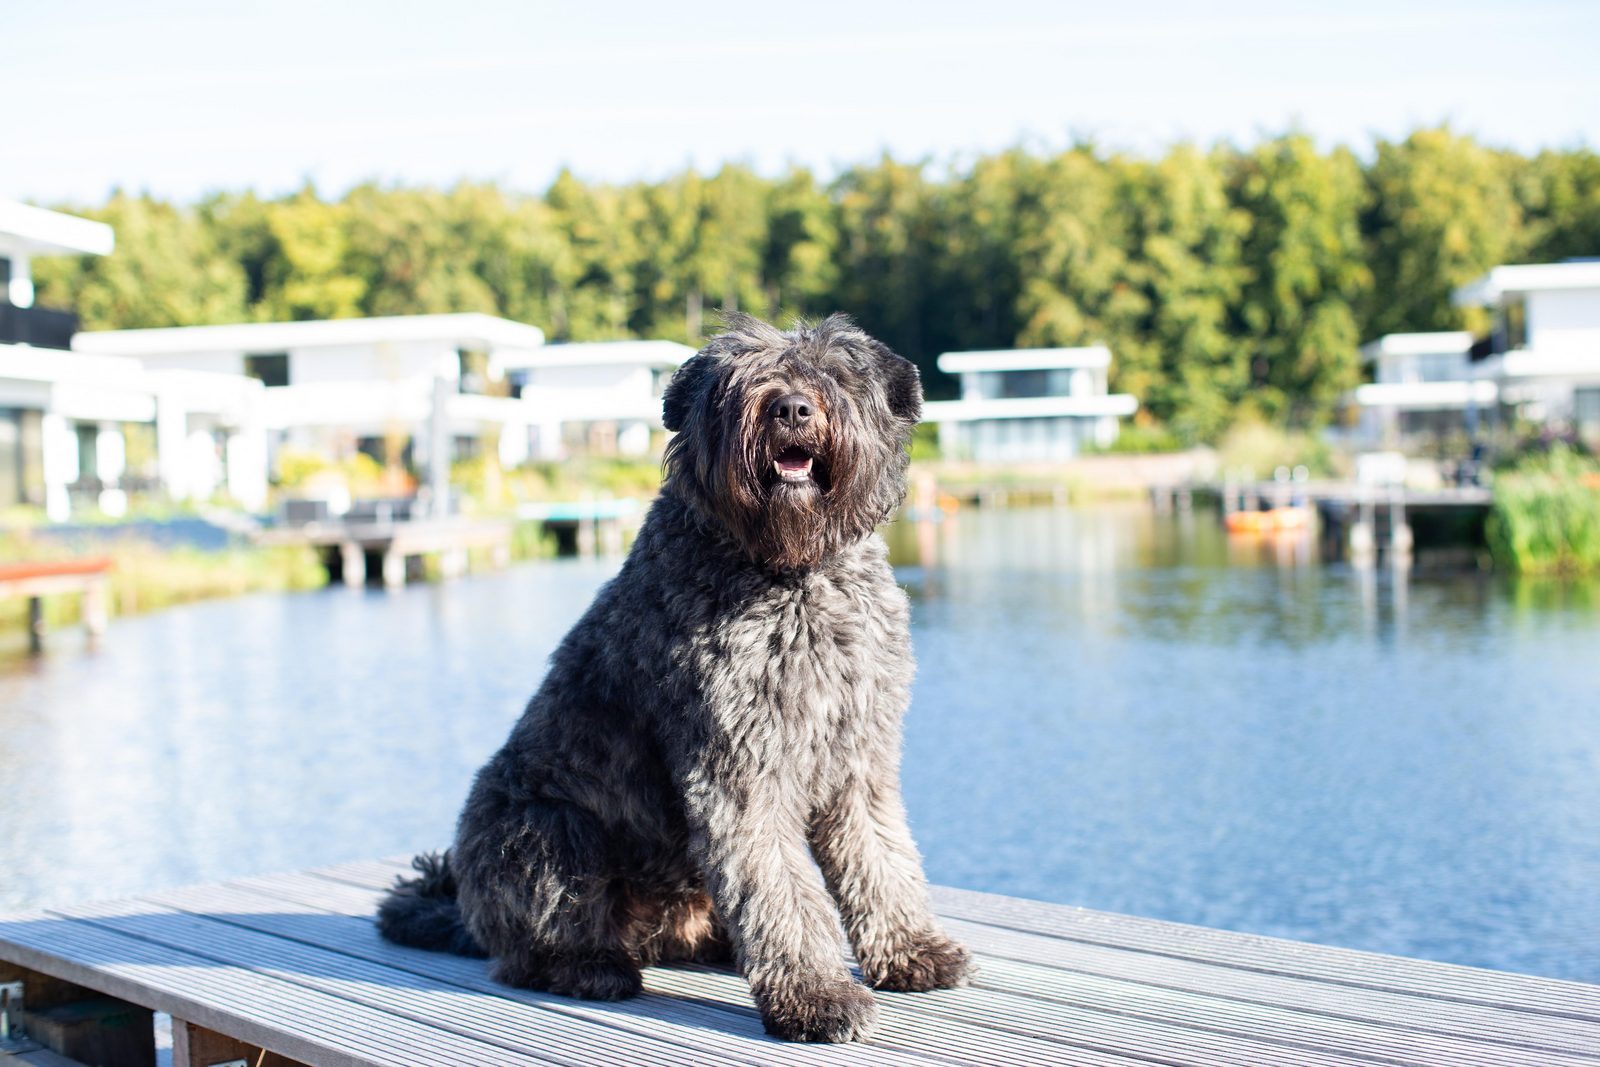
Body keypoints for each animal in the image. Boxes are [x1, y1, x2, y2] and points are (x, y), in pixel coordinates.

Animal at [380, 310, 966, 1043]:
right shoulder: (741, 771)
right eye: (738, 382)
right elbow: (779, 888)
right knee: (532, 942)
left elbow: (883, 860)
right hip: (549, 826)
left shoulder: (859, 759)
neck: (792, 576)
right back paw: (590, 967)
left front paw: (911, 951)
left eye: (835, 373)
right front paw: (817, 996)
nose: (792, 408)